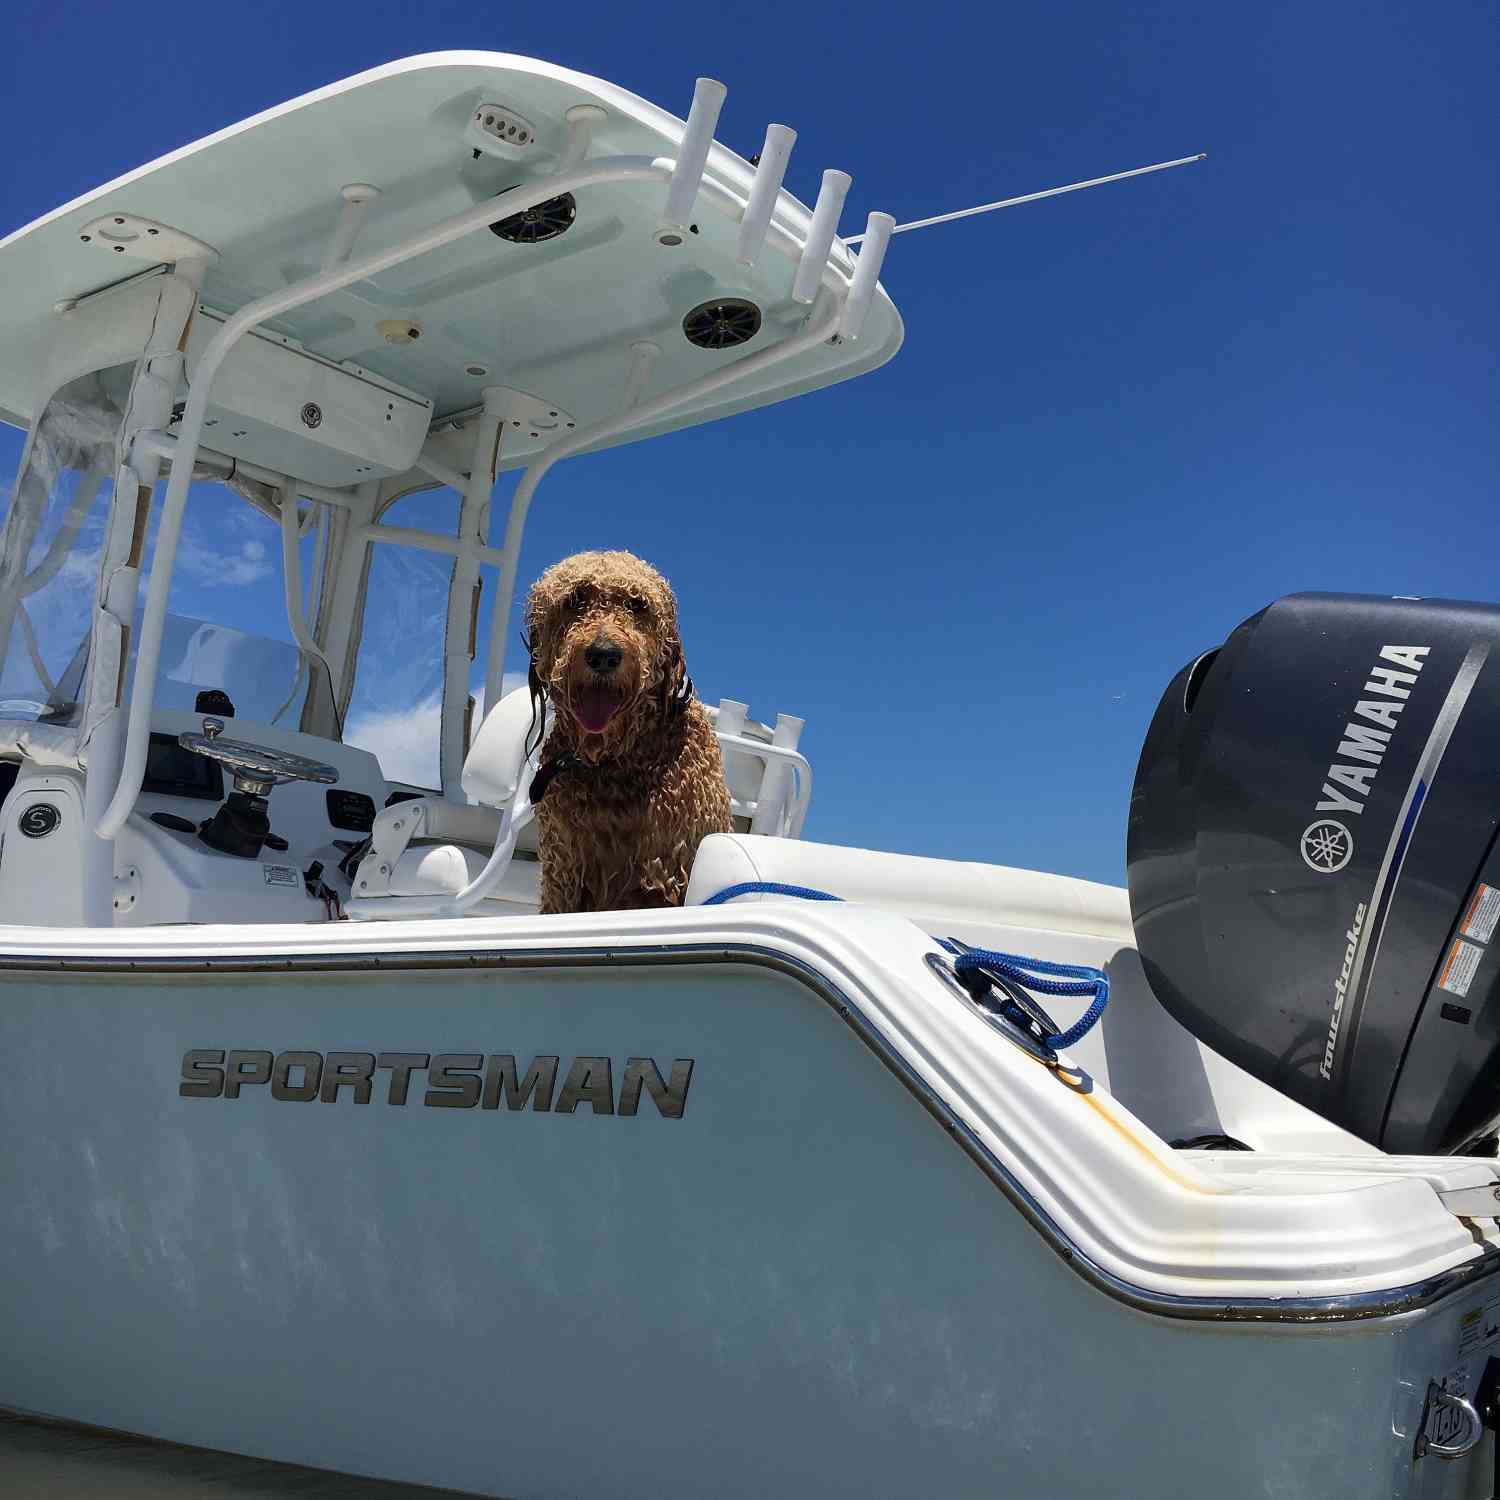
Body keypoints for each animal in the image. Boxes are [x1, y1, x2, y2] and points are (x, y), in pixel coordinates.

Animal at [528, 552, 732, 912]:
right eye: (575, 600)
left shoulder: (673, 867)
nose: (604, 654)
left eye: (637, 605)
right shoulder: (563, 870)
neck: (615, 759)